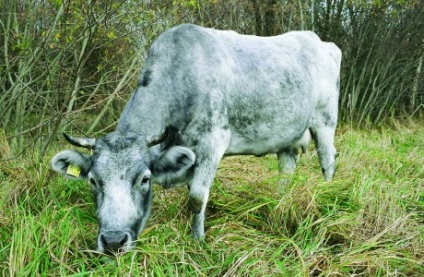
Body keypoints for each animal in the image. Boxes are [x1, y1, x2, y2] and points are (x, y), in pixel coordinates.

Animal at [50, 23, 342, 252]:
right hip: (287, 135)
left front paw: (197, 239)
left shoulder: (212, 143)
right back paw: (280, 202)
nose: (113, 241)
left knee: (328, 162)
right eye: (93, 180)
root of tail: (319, 41)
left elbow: (197, 197)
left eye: (144, 179)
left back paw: (328, 195)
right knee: (286, 172)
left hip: (325, 121)